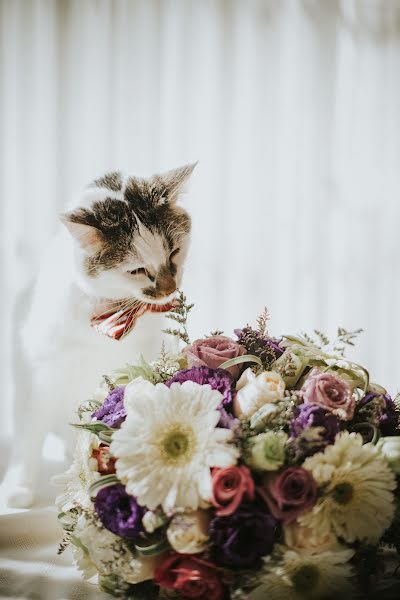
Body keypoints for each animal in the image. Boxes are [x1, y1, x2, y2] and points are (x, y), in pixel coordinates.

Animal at [4, 163, 195, 506]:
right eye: (136, 270)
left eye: (174, 252)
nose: (169, 289)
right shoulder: (41, 373)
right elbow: (29, 433)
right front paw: (18, 487)